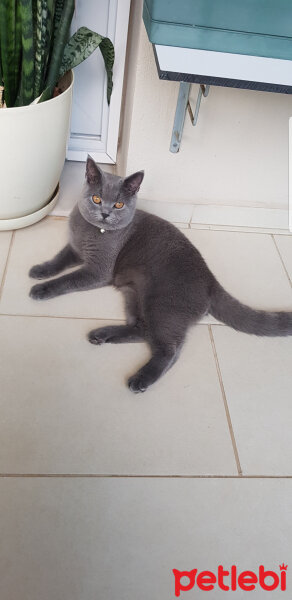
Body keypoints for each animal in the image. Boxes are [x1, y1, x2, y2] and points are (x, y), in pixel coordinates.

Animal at [29, 158, 292, 394]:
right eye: (96, 198)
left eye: (119, 205)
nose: (104, 213)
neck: (90, 232)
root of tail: (211, 280)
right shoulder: (74, 249)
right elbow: (58, 260)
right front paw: (39, 271)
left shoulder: (98, 270)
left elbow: (66, 280)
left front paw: (41, 290)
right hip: (134, 294)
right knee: (142, 329)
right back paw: (101, 335)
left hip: (163, 305)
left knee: (169, 348)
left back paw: (140, 379)